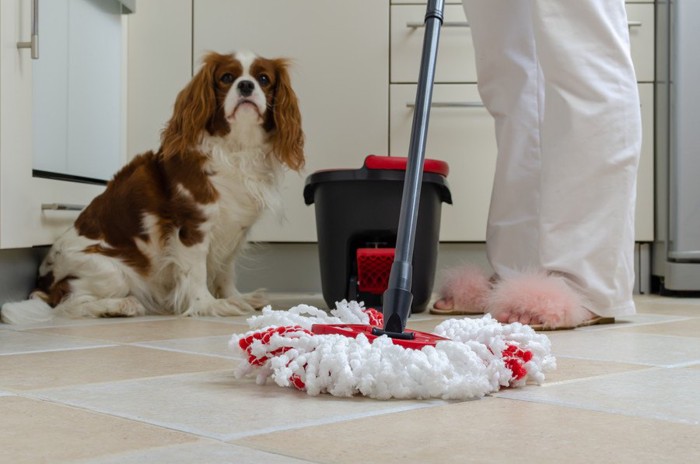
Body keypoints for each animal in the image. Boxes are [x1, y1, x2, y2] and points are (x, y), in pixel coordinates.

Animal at [2, 50, 304, 322]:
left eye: (263, 79)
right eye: (227, 78)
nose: (246, 85)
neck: (236, 149)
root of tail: (44, 285)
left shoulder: (235, 231)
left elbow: (225, 270)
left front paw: (235, 297)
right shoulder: (193, 227)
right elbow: (197, 272)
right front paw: (208, 305)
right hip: (110, 272)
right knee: (69, 305)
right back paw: (118, 306)